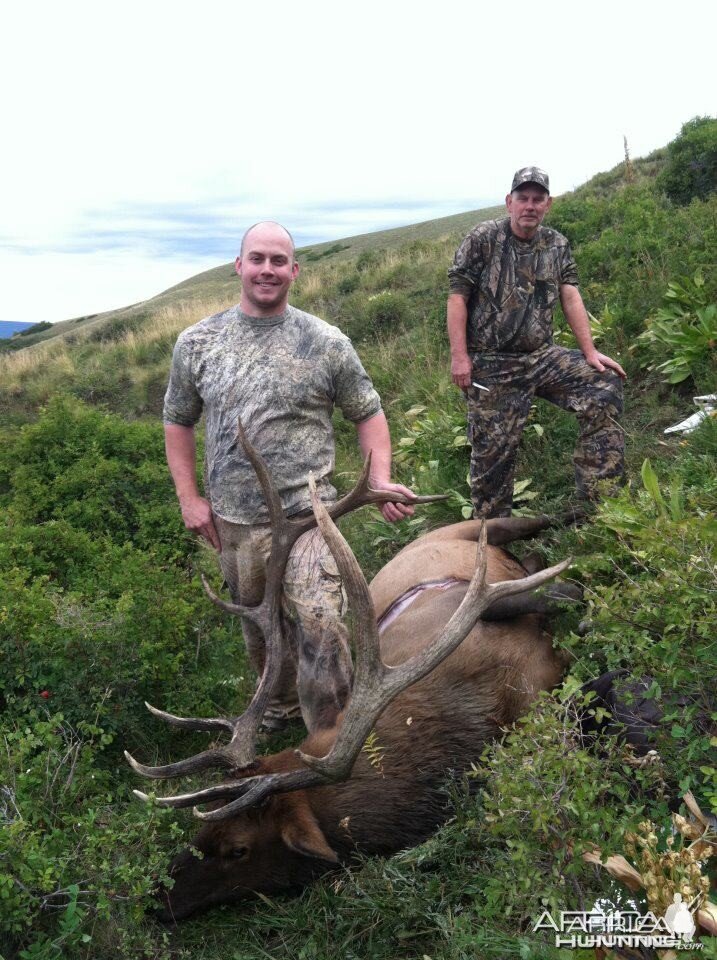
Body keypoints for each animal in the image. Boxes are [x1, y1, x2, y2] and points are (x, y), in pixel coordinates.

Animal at [124, 424, 572, 920]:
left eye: (238, 849)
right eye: (203, 829)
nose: (157, 895)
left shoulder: (463, 603)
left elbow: (558, 593)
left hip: (471, 527)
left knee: (534, 520)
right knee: (529, 555)